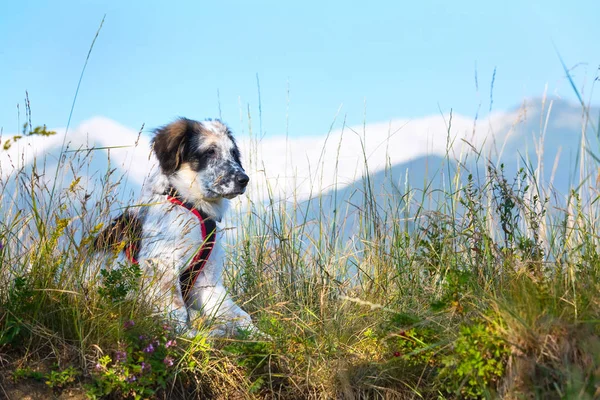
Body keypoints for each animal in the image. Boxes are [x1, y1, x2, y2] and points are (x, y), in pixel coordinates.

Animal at [95, 117, 258, 336]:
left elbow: (237, 314)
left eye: (233, 153)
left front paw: (261, 336)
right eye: (210, 152)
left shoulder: (206, 281)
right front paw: (187, 337)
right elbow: (177, 310)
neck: (191, 204)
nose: (244, 180)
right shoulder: (163, 265)